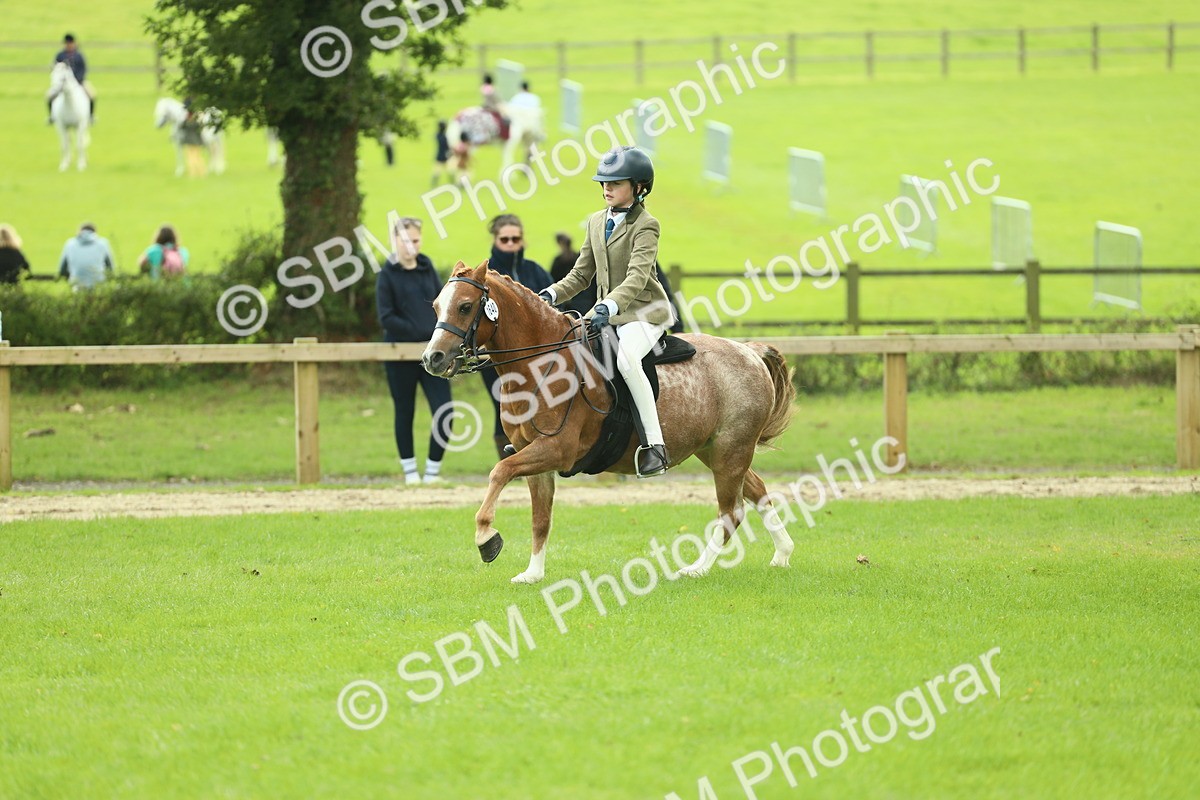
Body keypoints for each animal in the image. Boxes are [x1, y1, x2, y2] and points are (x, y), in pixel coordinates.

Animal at [421, 261, 798, 584]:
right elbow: (540, 519)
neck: (540, 364)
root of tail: (749, 351)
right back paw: (782, 553)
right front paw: (533, 574)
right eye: (437, 306)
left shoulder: (557, 449)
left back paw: (695, 569)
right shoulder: (535, 456)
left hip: (730, 451)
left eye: (465, 307)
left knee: (730, 513)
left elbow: (499, 472)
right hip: (715, 450)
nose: (432, 359)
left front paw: (486, 537)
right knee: (758, 492)